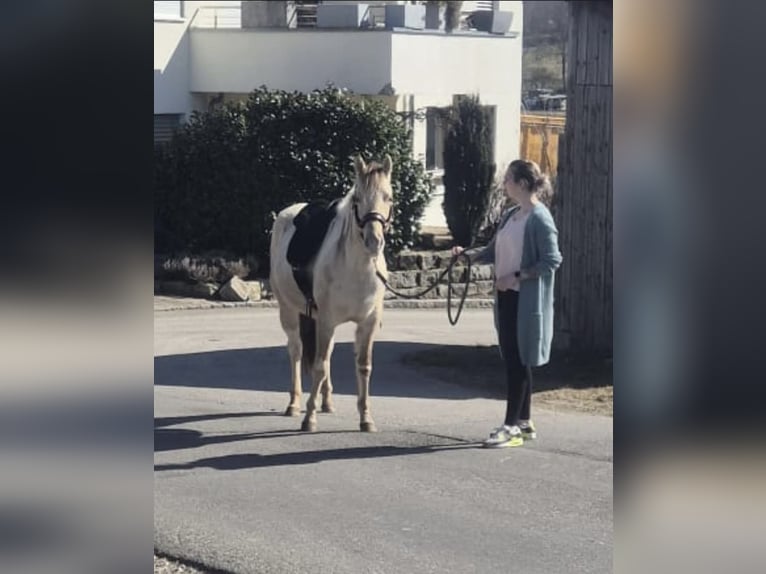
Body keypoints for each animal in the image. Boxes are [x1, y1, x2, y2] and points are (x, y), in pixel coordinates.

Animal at [269, 155, 394, 432]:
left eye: (389, 197)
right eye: (357, 199)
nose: (374, 241)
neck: (357, 267)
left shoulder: (367, 323)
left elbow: (362, 366)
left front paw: (366, 418)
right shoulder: (326, 320)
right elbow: (318, 366)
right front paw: (309, 418)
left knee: (327, 355)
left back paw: (326, 402)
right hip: (288, 312)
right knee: (296, 350)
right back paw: (294, 404)